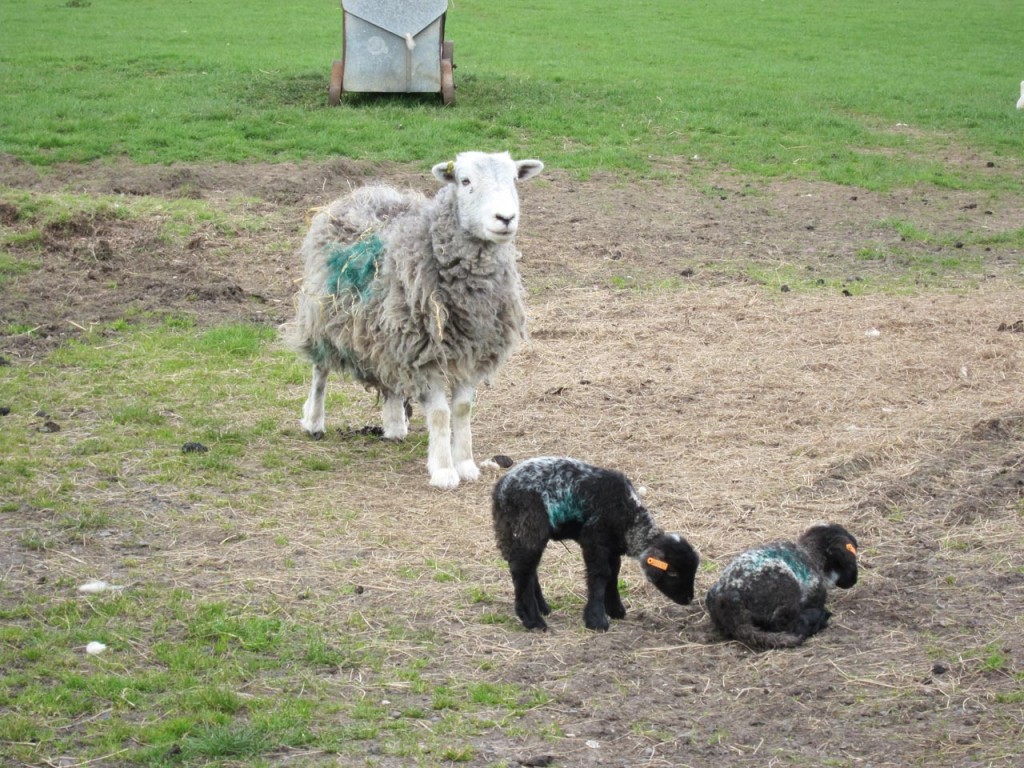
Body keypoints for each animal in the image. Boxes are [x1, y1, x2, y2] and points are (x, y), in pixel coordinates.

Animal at [282, 151, 544, 489]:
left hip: (389, 329)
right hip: (324, 314)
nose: (506, 218)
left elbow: (462, 410)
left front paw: (466, 464)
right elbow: (441, 415)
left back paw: (395, 425)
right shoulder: (426, 354)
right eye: (465, 181)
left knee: (388, 377)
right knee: (320, 370)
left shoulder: (470, 351)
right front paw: (444, 470)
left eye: (514, 179)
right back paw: (314, 421)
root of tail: (365, 191)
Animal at [491, 456, 700, 630]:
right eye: (672, 573)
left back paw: (542, 608)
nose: (688, 598)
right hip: (530, 524)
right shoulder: (594, 539)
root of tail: (501, 489)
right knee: (522, 569)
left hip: (511, 529)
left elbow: (613, 573)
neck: (629, 520)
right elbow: (601, 574)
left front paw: (615, 609)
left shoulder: (612, 546)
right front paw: (596, 619)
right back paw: (533, 620)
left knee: (526, 566)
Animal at [704, 524, 856, 651]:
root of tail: (728, 602)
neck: (810, 554)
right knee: (785, 624)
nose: (852, 581)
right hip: (786, 590)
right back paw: (820, 618)